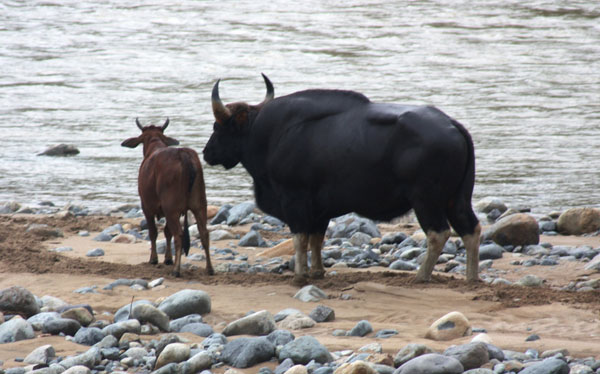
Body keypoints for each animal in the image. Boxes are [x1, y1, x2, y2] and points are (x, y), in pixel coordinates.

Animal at [121, 118, 213, 276]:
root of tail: (183, 154)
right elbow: (166, 232)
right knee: (204, 233)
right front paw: (168, 259)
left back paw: (176, 270)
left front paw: (154, 259)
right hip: (199, 204)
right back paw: (209, 269)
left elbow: (153, 232)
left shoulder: (146, 206)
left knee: (179, 235)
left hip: (172, 208)